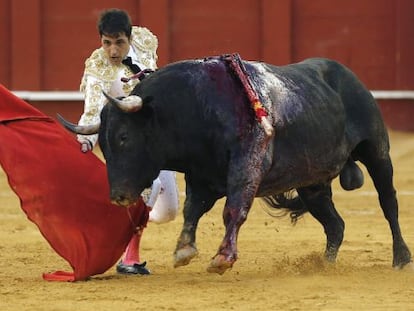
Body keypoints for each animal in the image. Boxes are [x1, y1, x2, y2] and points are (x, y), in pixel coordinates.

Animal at [58, 56, 410, 276]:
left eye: (124, 137)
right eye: (103, 145)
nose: (118, 196)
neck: (193, 108)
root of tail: (348, 75)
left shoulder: (247, 165)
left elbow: (233, 210)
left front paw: (222, 258)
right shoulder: (202, 176)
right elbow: (192, 210)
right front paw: (184, 251)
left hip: (377, 151)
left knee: (388, 202)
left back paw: (401, 257)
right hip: (312, 181)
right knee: (335, 224)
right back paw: (324, 265)